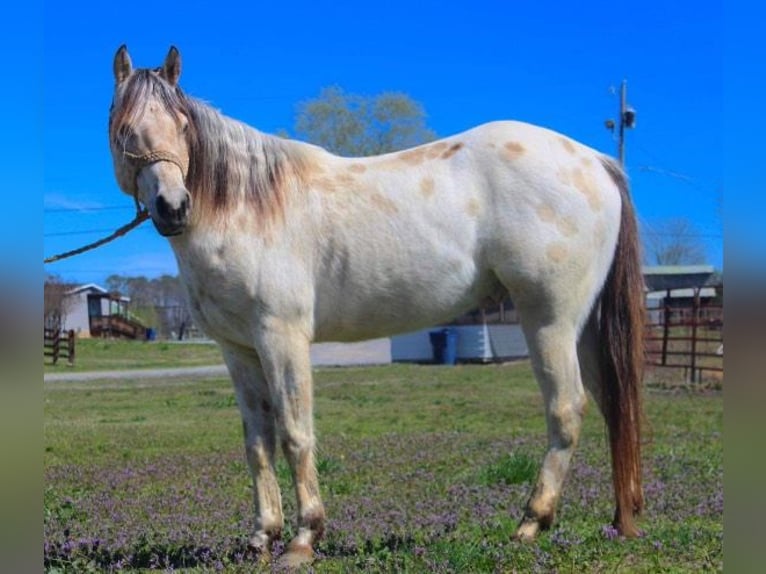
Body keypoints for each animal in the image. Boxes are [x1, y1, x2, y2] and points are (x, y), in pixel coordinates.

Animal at [108, 44, 648, 568]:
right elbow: (258, 443)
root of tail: (595, 161)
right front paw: (262, 538)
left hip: (550, 321)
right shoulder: (238, 350)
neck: (249, 206)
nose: (173, 207)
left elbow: (295, 434)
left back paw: (531, 523)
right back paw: (622, 520)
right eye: (125, 128)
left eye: (182, 125)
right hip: (583, 327)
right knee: (614, 406)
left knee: (567, 408)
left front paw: (303, 540)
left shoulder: (281, 338)